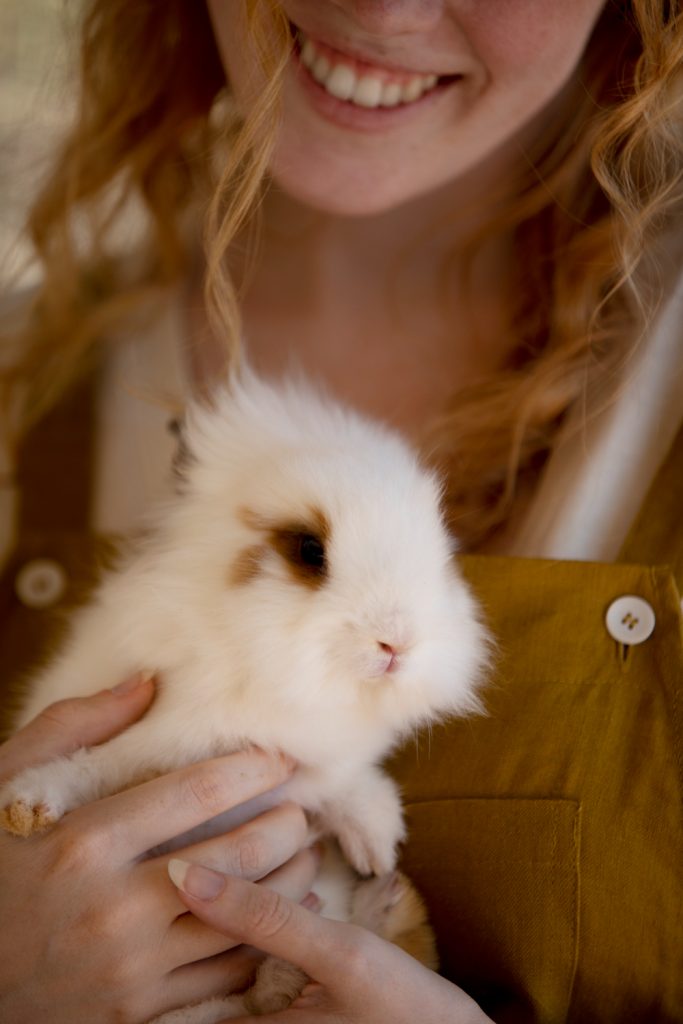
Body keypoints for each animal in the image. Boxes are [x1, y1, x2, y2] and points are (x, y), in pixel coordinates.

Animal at [0, 369, 489, 1021]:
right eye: (310, 550)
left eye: (441, 553)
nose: (398, 642)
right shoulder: (158, 732)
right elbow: (90, 768)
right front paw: (26, 808)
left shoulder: (311, 764)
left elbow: (348, 787)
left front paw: (377, 850)